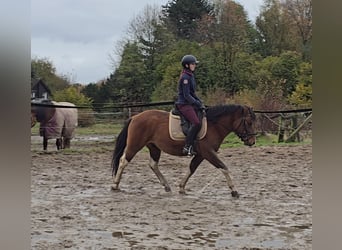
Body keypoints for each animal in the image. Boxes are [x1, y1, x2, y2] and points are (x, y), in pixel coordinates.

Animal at [111, 103, 255, 197]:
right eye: (249, 122)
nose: (252, 142)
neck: (214, 125)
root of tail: (135, 117)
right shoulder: (208, 152)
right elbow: (223, 167)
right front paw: (234, 190)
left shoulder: (201, 154)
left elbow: (192, 168)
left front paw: (181, 187)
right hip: (135, 145)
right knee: (124, 161)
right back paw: (115, 185)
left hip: (154, 147)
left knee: (153, 164)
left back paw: (166, 186)